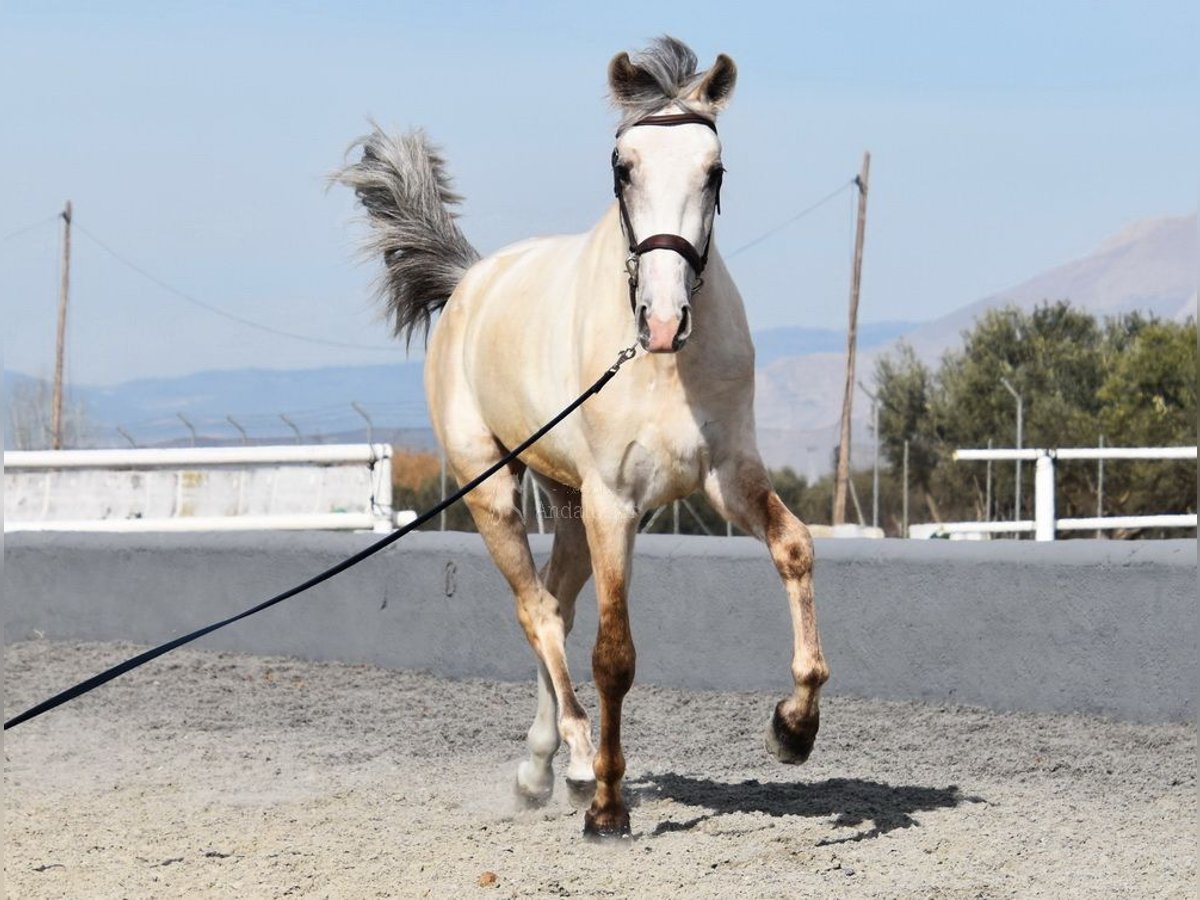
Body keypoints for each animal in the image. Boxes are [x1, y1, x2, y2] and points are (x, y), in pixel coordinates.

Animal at [336, 35, 825, 840]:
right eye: (622, 167)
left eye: (715, 171)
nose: (664, 318)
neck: (661, 366)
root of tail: (471, 282)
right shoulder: (614, 503)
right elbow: (613, 656)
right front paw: (606, 807)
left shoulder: (727, 477)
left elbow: (794, 548)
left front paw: (794, 727)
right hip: (494, 489)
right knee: (536, 610)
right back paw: (570, 759)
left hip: (563, 500)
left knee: (555, 606)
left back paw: (545, 767)